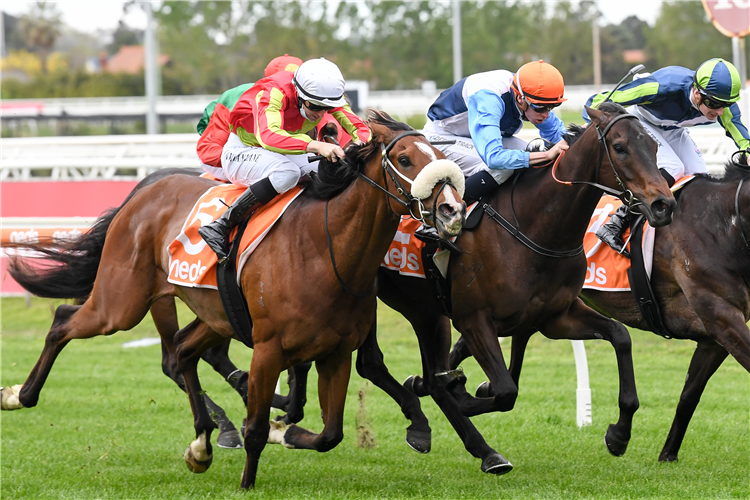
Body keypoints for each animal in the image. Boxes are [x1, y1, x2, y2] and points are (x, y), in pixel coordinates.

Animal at [0, 110, 470, 488]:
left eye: (438, 153)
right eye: (405, 159)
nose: (451, 211)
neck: (325, 248)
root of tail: (143, 192)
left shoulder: (335, 353)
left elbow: (329, 433)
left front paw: (286, 430)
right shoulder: (268, 350)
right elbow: (257, 429)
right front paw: (252, 471)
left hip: (213, 315)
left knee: (182, 352)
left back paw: (202, 443)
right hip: (121, 302)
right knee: (65, 320)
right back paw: (19, 394)